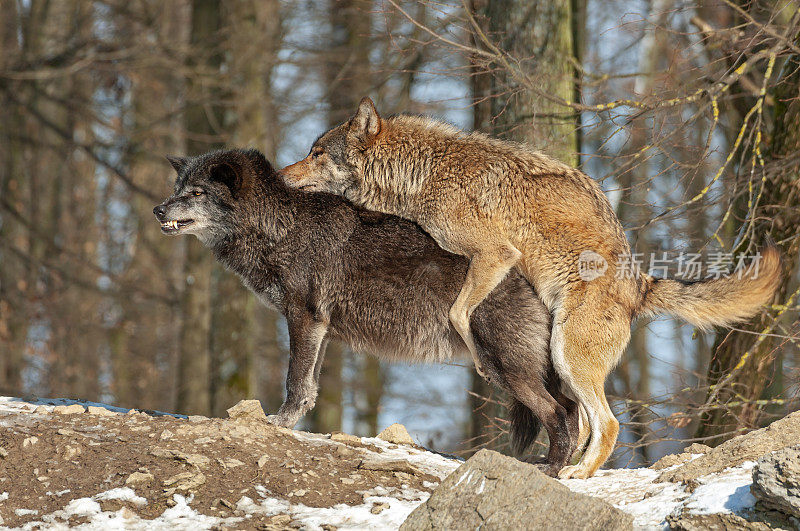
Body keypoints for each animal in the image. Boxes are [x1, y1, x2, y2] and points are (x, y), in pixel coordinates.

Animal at [155, 148, 580, 476]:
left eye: (197, 191)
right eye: (178, 189)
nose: (159, 209)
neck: (282, 227)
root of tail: (539, 286)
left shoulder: (303, 318)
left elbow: (294, 381)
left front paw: (280, 423)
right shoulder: (321, 330)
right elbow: (309, 387)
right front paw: (294, 423)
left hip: (502, 369)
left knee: (560, 414)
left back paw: (553, 470)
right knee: (572, 413)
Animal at [280, 98, 780, 478]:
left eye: (316, 152)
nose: (282, 174)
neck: (423, 173)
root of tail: (639, 284)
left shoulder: (496, 255)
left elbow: (458, 314)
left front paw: (479, 359)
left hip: (568, 354)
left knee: (608, 425)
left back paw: (577, 472)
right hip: (563, 360)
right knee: (584, 423)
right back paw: (565, 465)